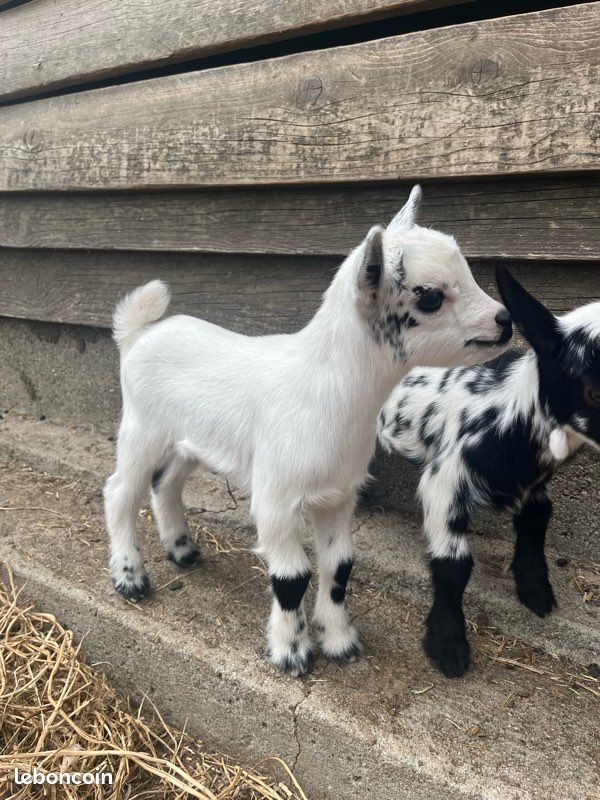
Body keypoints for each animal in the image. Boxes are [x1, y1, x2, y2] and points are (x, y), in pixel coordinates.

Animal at [104, 186, 511, 676]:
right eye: (430, 296)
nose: (505, 320)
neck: (326, 388)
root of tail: (138, 333)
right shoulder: (276, 499)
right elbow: (291, 576)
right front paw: (291, 652)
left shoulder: (338, 496)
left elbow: (339, 565)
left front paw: (339, 641)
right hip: (142, 428)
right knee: (120, 491)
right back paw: (130, 577)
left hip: (187, 440)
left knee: (165, 483)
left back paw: (182, 550)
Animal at [378, 267, 600, 678]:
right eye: (594, 391)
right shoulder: (443, 480)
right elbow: (454, 565)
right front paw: (448, 645)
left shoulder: (534, 487)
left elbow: (537, 521)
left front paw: (535, 590)